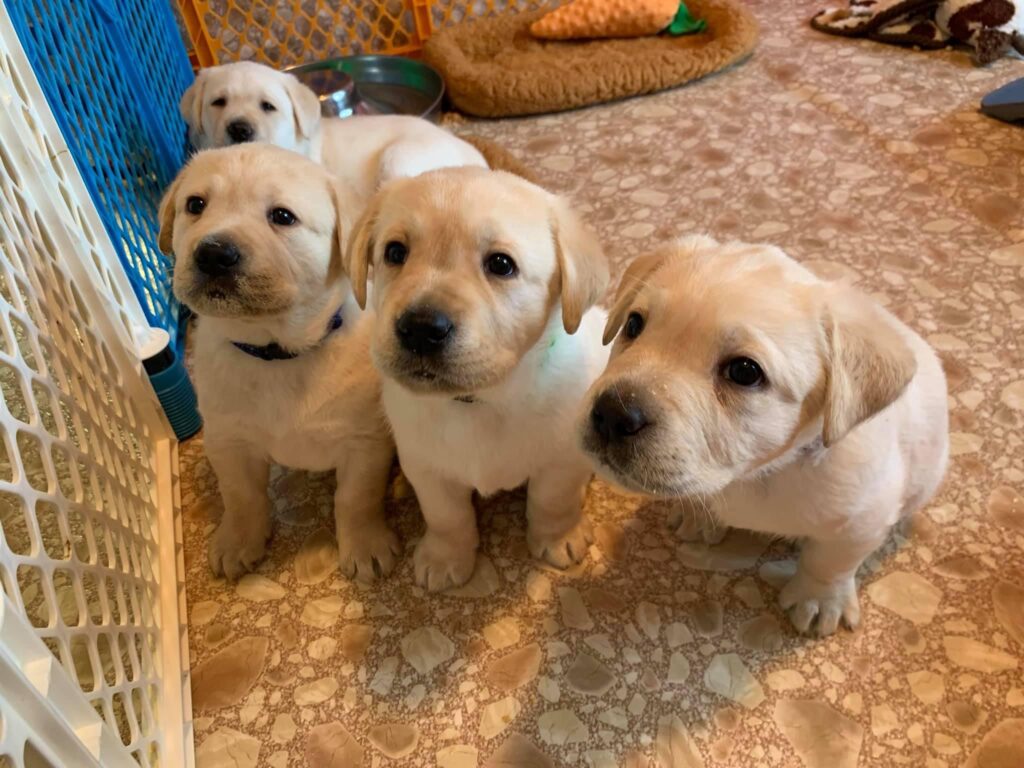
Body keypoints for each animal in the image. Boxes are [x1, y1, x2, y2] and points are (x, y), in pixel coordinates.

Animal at [157, 143, 397, 581]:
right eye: (195, 205)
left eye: (282, 217)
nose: (213, 253)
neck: (277, 352)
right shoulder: (227, 440)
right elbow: (240, 495)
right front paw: (238, 540)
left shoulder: (365, 442)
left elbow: (355, 498)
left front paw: (364, 544)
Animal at [348, 166, 610, 589]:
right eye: (395, 253)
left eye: (501, 264)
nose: (420, 328)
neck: (481, 399)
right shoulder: (426, 466)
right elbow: (446, 516)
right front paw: (445, 557)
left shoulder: (560, 458)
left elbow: (552, 499)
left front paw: (559, 536)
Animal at [581, 236, 946, 638]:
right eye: (633, 323)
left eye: (744, 371)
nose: (612, 414)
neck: (755, 475)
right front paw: (698, 515)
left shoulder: (863, 519)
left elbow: (831, 561)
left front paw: (819, 599)